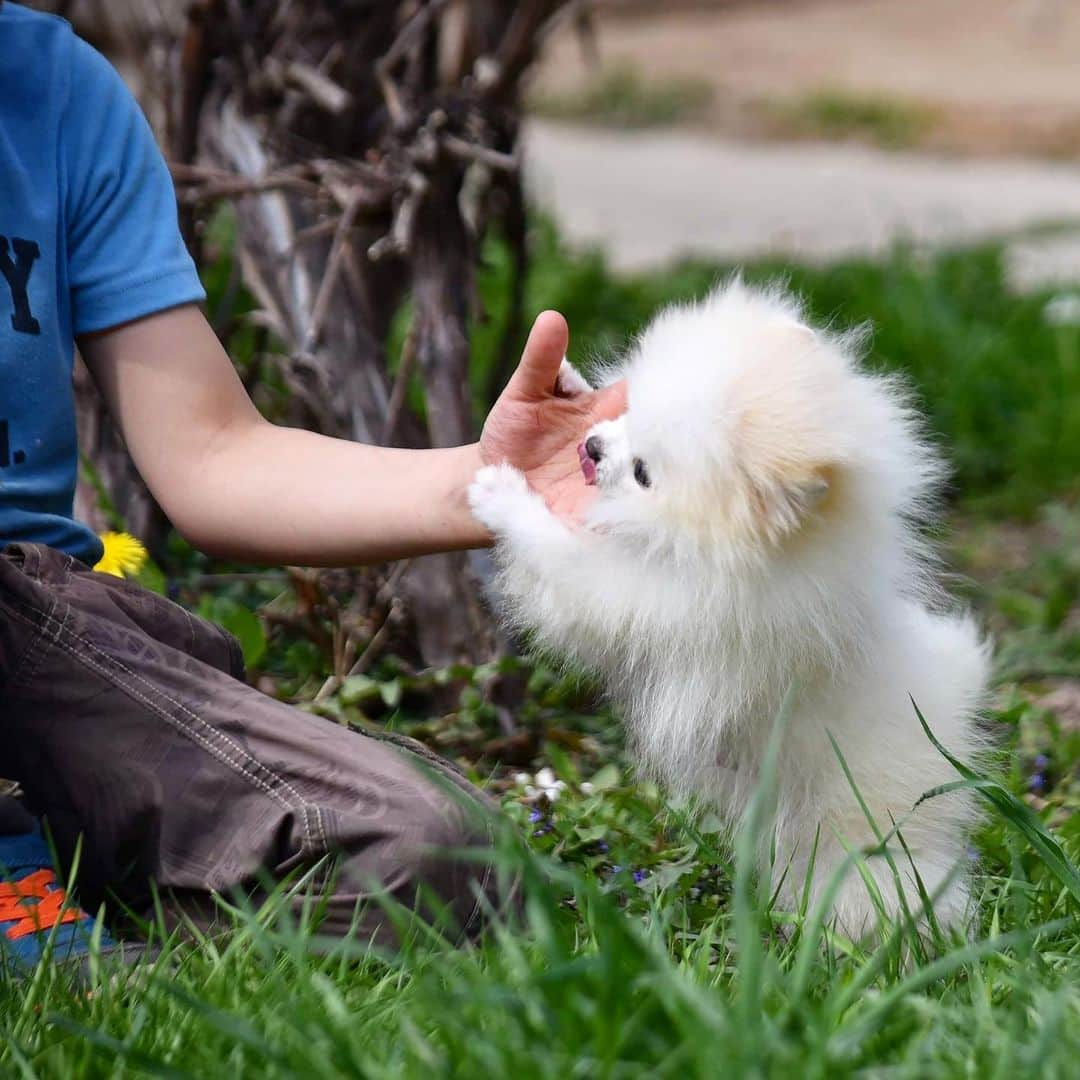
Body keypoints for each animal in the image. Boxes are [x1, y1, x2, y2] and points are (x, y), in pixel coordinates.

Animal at [468, 282, 989, 941]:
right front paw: (567, 380)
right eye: (632, 414)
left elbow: (563, 558)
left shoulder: (648, 599)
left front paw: (502, 495)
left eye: (644, 473)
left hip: (856, 851)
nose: (591, 446)